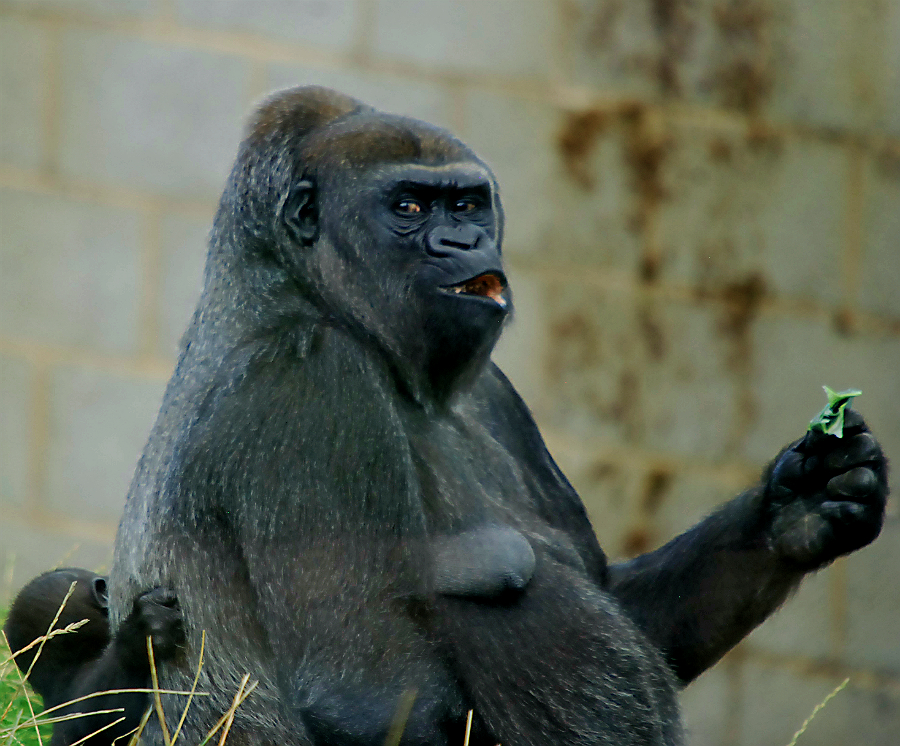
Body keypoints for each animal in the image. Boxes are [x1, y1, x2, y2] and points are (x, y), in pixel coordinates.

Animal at [104, 86, 887, 745]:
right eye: (408, 208)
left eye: (466, 205)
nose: (464, 245)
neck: (293, 285)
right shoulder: (308, 381)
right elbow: (369, 699)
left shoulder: (494, 391)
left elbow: (633, 608)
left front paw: (801, 504)